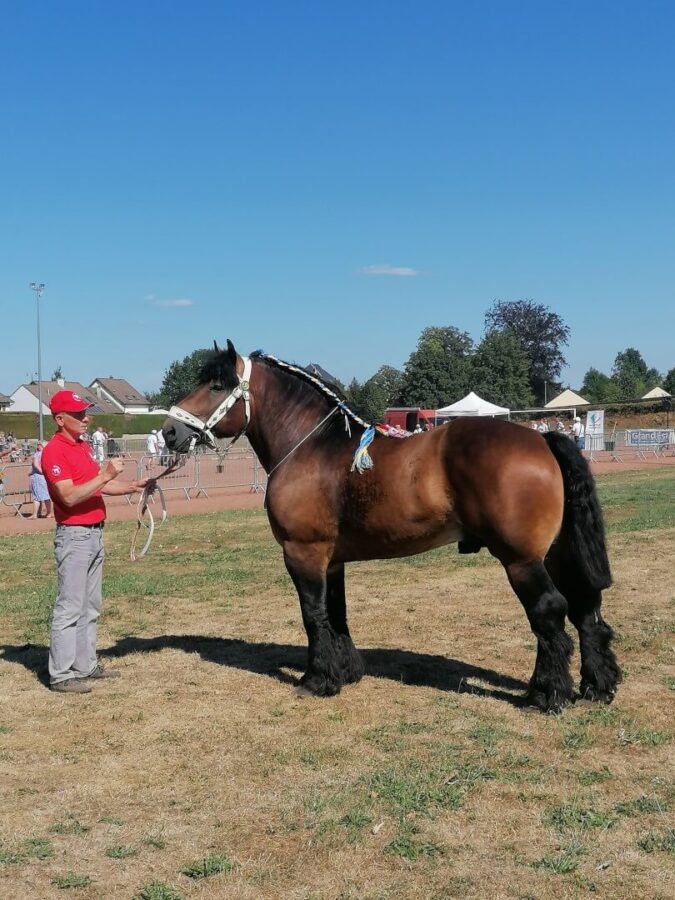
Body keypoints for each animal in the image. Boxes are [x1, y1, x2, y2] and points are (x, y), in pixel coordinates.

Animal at [164, 342, 624, 712]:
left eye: (217, 385)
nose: (169, 430)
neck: (313, 449)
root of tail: (541, 439)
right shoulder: (333, 560)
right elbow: (337, 613)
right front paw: (346, 672)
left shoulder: (303, 553)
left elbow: (313, 615)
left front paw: (317, 680)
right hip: (556, 552)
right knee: (585, 608)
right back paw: (597, 686)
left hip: (521, 560)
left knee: (550, 612)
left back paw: (545, 695)